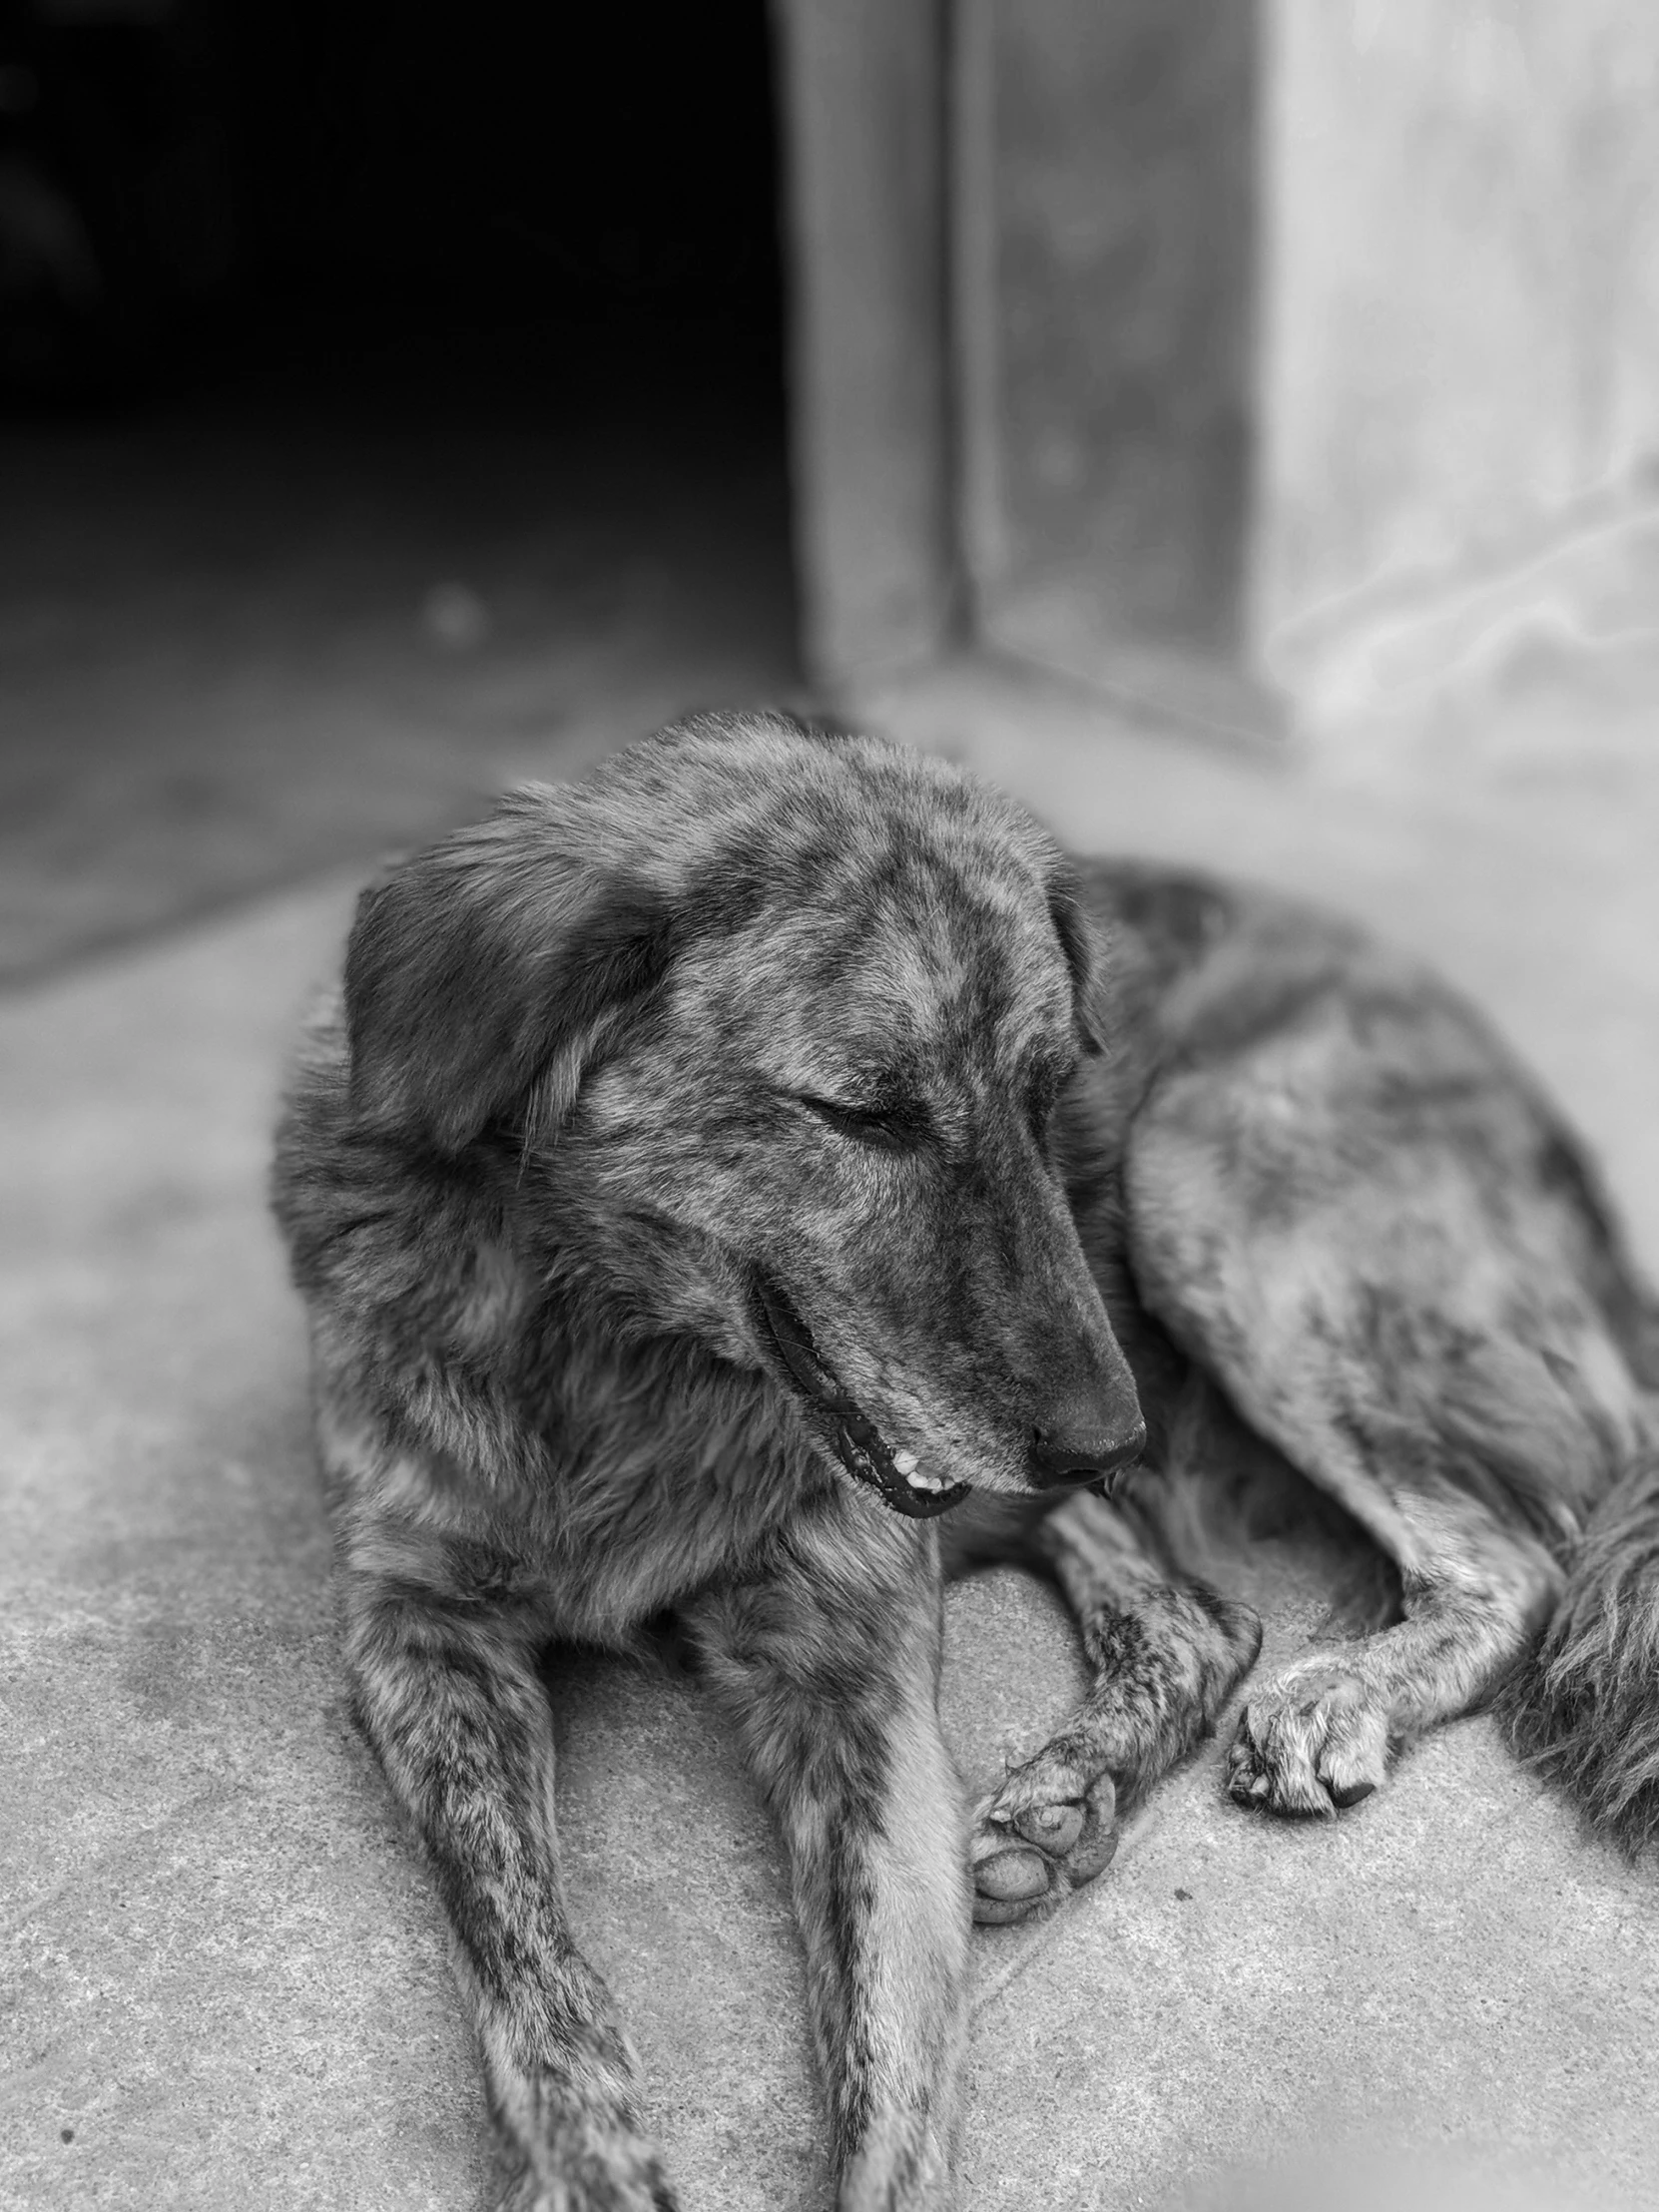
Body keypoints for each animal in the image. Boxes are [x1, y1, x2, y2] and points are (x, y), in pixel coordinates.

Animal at [273, 712, 1659, 2212]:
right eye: (865, 1114)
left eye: (1052, 1094)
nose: (1114, 1435)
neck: (618, 1345)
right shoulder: (418, 1627)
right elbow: (518, 1941)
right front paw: (589, 2166)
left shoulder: (855, 1662)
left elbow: (893, 2039)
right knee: (1202, 1615)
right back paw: (1067, 1794)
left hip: (1201, 1175)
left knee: (1506, 1559)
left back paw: (1334, 1691)